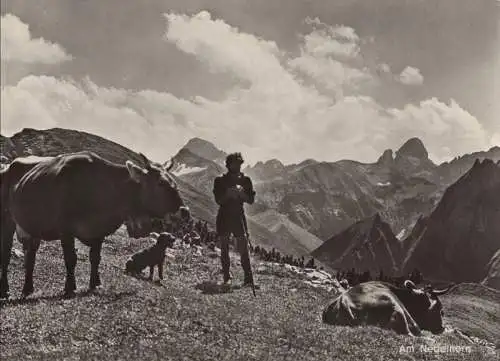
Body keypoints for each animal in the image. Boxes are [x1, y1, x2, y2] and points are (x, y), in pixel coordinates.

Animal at [0, 150, 184, 298]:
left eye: (175, 183)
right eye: (160, 183)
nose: (184, 209)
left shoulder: (98, 231)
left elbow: (95, 258)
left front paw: (95, 284)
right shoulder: (66, 229)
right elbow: (71, 259)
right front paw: (70, 288)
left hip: (32, 227)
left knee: (30, 256)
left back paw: (28, 289)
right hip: (7, 219)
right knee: (6, 254)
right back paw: (5, 290)